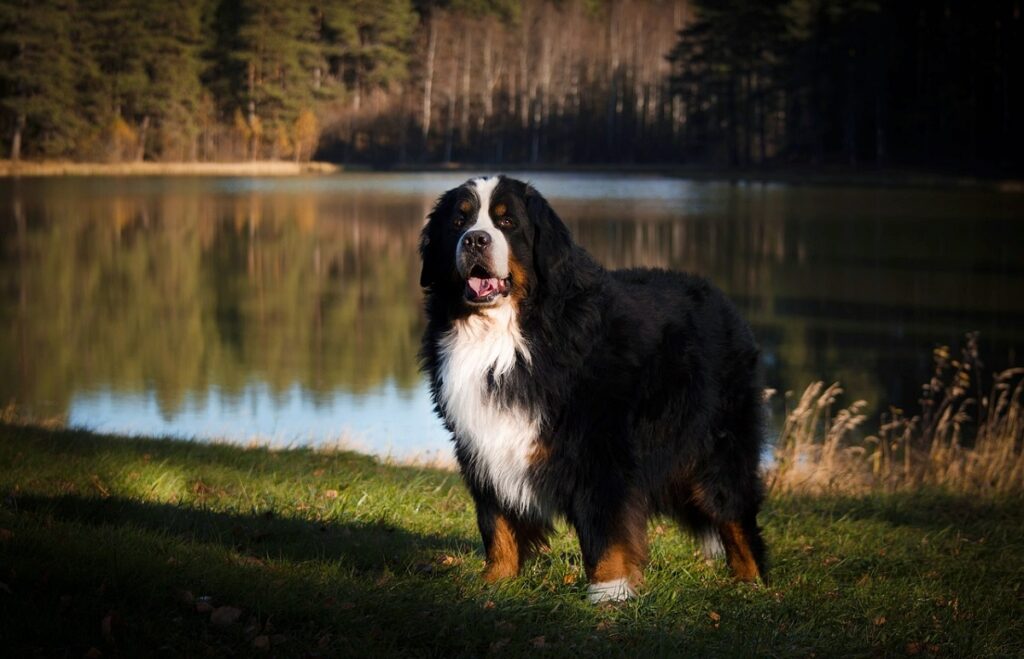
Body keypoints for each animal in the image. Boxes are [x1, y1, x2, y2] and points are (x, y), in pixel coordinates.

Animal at [417, 174, 770, 601]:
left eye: (507, 222)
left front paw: (609, 592)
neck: (506, 335)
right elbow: (497, 521)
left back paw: (752, 585)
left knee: (734, 513)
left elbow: (605, 528)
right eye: (458, 222)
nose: (474, 240)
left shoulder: (600, 448)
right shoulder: (481, 442)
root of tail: (724, 301)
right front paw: (495, 581)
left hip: (718, 448)